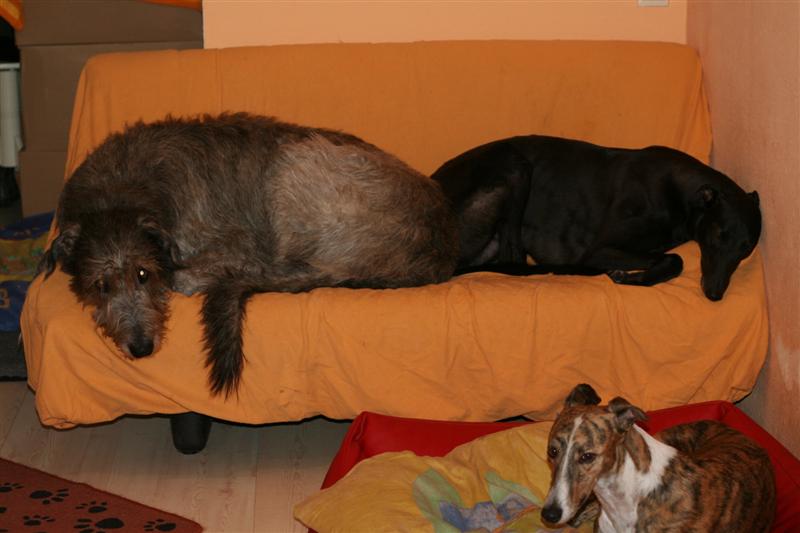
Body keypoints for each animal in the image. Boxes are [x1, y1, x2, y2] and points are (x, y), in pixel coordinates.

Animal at [38, 112, 458, 396]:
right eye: (101, 286)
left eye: (144, 274)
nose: (141, 348)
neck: (118, 191)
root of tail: (437, 243)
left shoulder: (236, 242)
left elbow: (202, 269)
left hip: (296, 165)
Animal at [431, 136, 762, 300]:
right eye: (718, 235)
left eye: (745, 250)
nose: (715, 294)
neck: (679, 188)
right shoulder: (601, 248)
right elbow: (675, 259)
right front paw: (636, 278)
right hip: (515, 165)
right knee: (512, 259)